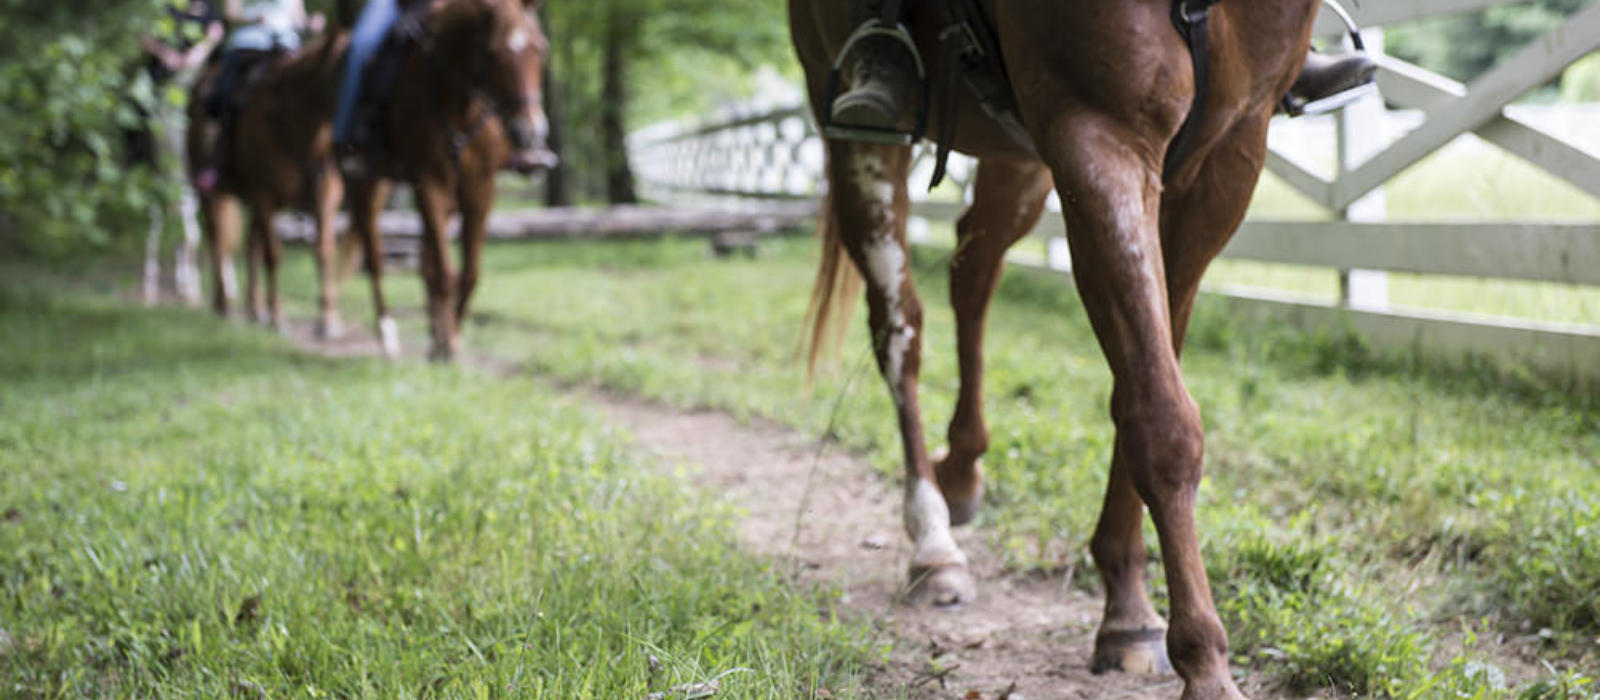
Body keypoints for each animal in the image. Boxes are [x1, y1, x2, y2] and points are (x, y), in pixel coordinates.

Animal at [186, 33, 349, 338]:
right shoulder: (264, 197)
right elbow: (273, 255)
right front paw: (277, 317)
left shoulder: (325, 198)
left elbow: (324, 253)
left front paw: (328, 319)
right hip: (210, 191)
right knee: (217, 241)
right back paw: (224, 303)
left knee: (250, 244)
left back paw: (254, 308)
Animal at [345, 0, 555, 361]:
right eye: (492, 53)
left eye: (540, 49)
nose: (530, 132)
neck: (459, 100)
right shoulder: (430, 182)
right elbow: (445, 272)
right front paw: (448, 345)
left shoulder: (479, 188)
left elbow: (468, 273)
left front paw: (447, 339)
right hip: (369, 183)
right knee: (375, 257)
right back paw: (388, 335)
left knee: (425, 262)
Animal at [792, 2, 1321, 699]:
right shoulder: (1096, 137)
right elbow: (1162, 418)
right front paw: (1204, 666)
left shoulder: (1227, 158)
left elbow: (1145, 381)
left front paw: (1128, 610)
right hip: (861, 140)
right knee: (898, 327)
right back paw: (933, 543)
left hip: (1017, 161)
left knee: (973, 271)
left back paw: (962, 468)